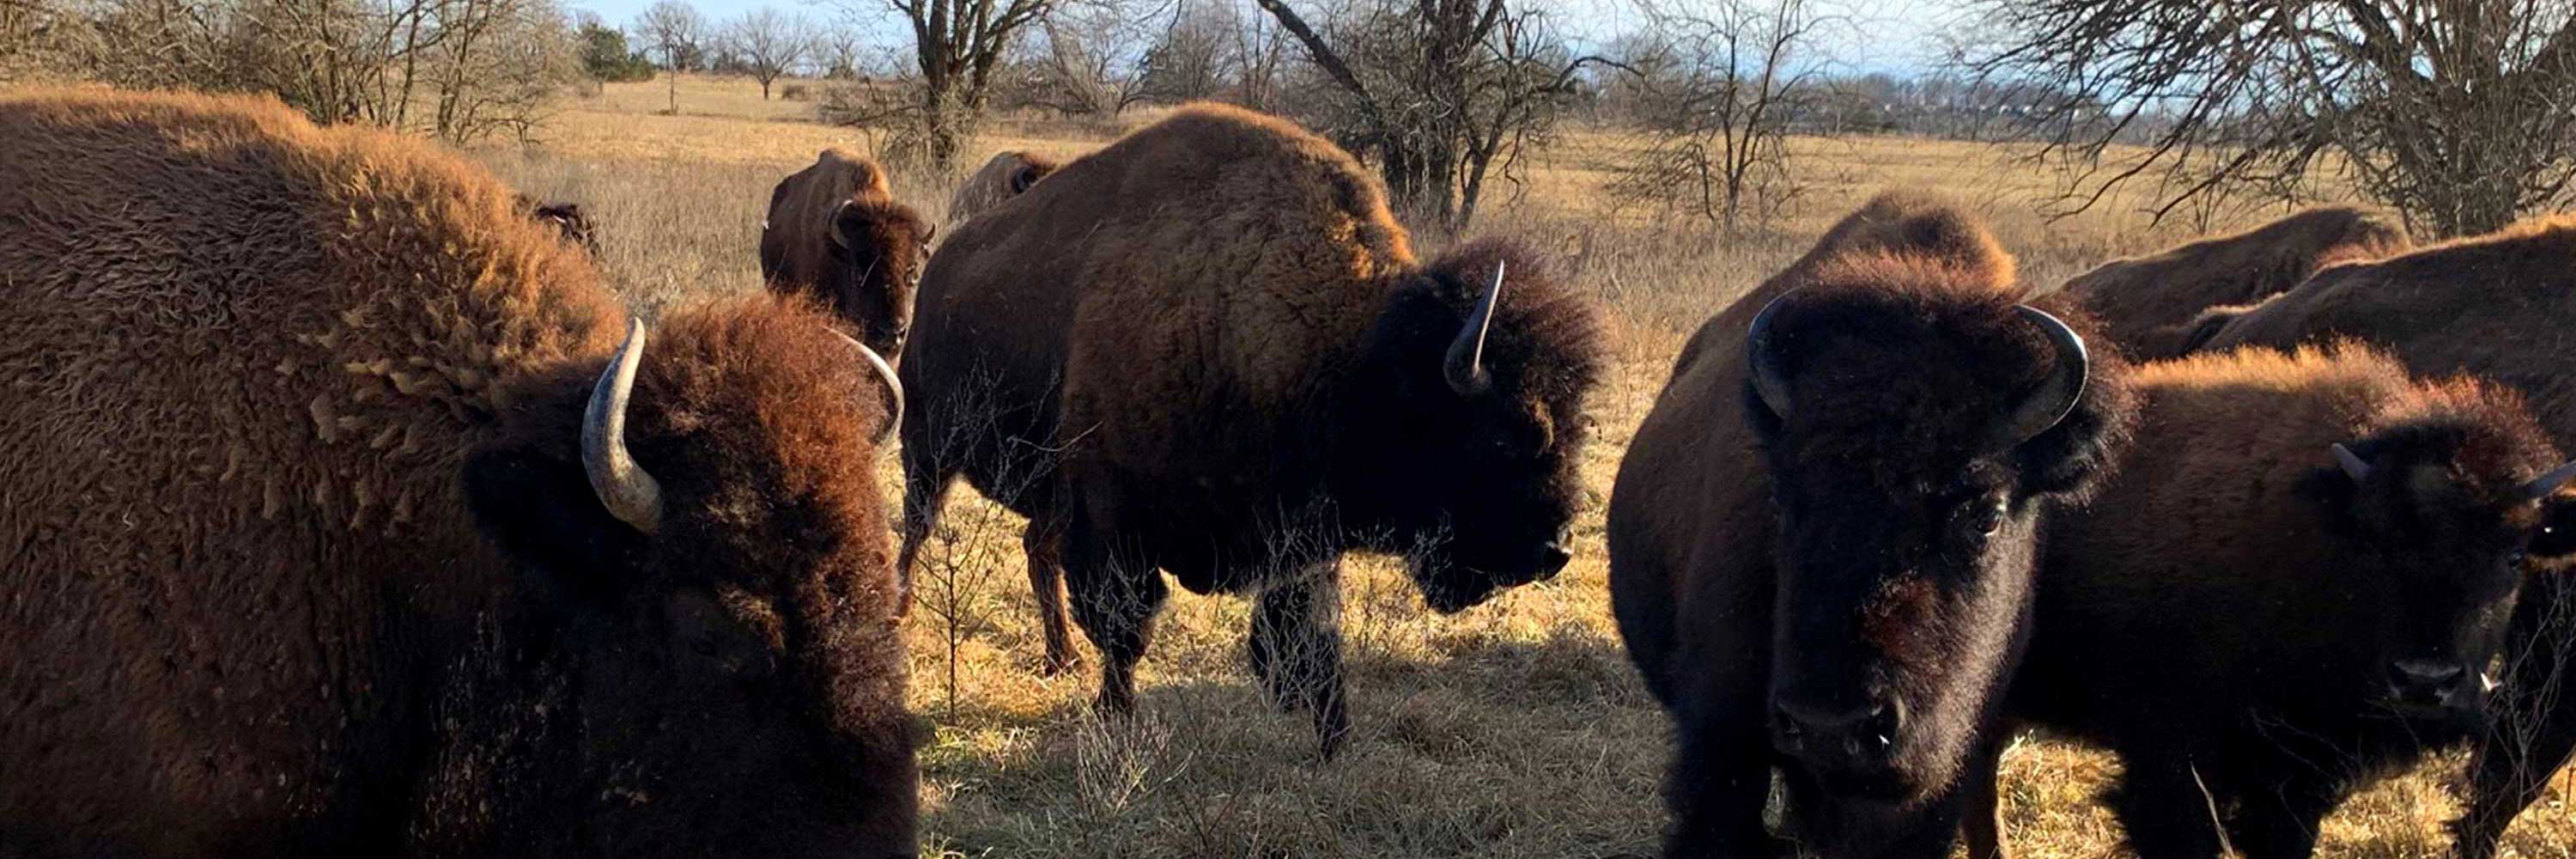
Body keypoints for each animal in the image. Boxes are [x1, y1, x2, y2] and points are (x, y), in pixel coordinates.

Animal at [898, 103, 1603, 755]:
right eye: (1510, 435)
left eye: (1575, 427)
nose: (1556, 550)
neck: (1350, 358)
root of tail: (941, 266)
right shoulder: (1111, 518)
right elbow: (1128, 627)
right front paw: (1117, 714)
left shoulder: (1301, 543)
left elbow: (1307, 640)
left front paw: (1334, 740)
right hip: (929, 450)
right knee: (918, 530)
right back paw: (905, 611)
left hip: (1040, 493)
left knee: (1035, 554)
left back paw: (1060, 657)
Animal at [1960, 343, 2573, 859]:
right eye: (2375, 544)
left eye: (2515, 556)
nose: (2425, 682)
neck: (2317, 527)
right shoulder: (2173, 765)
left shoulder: (2295, 782)